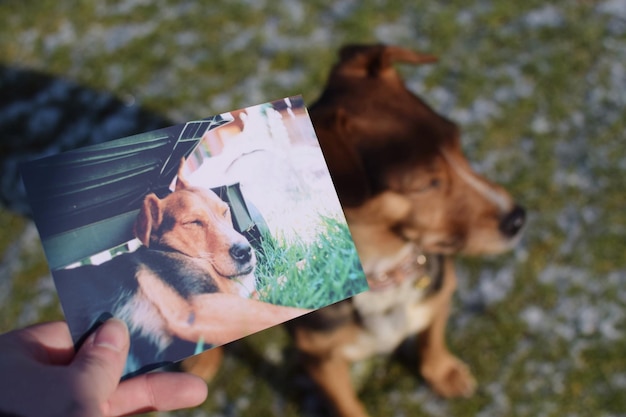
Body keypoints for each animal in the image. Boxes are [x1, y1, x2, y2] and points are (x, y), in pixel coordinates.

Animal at [54, 161, 308, 376]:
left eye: (225, 210)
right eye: (193, 222)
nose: (245, 251)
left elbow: (281, 279)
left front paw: (315, 254)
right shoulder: (200, 309)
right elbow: (280, 311)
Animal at [288, 44, 528, 416]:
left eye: (458, 141)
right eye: (426, 183)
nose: (517, 218)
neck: (383, 272)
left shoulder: (442, 291)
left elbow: (432, 337)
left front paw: (442, 372)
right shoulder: (320, 359)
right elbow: (348, 406)